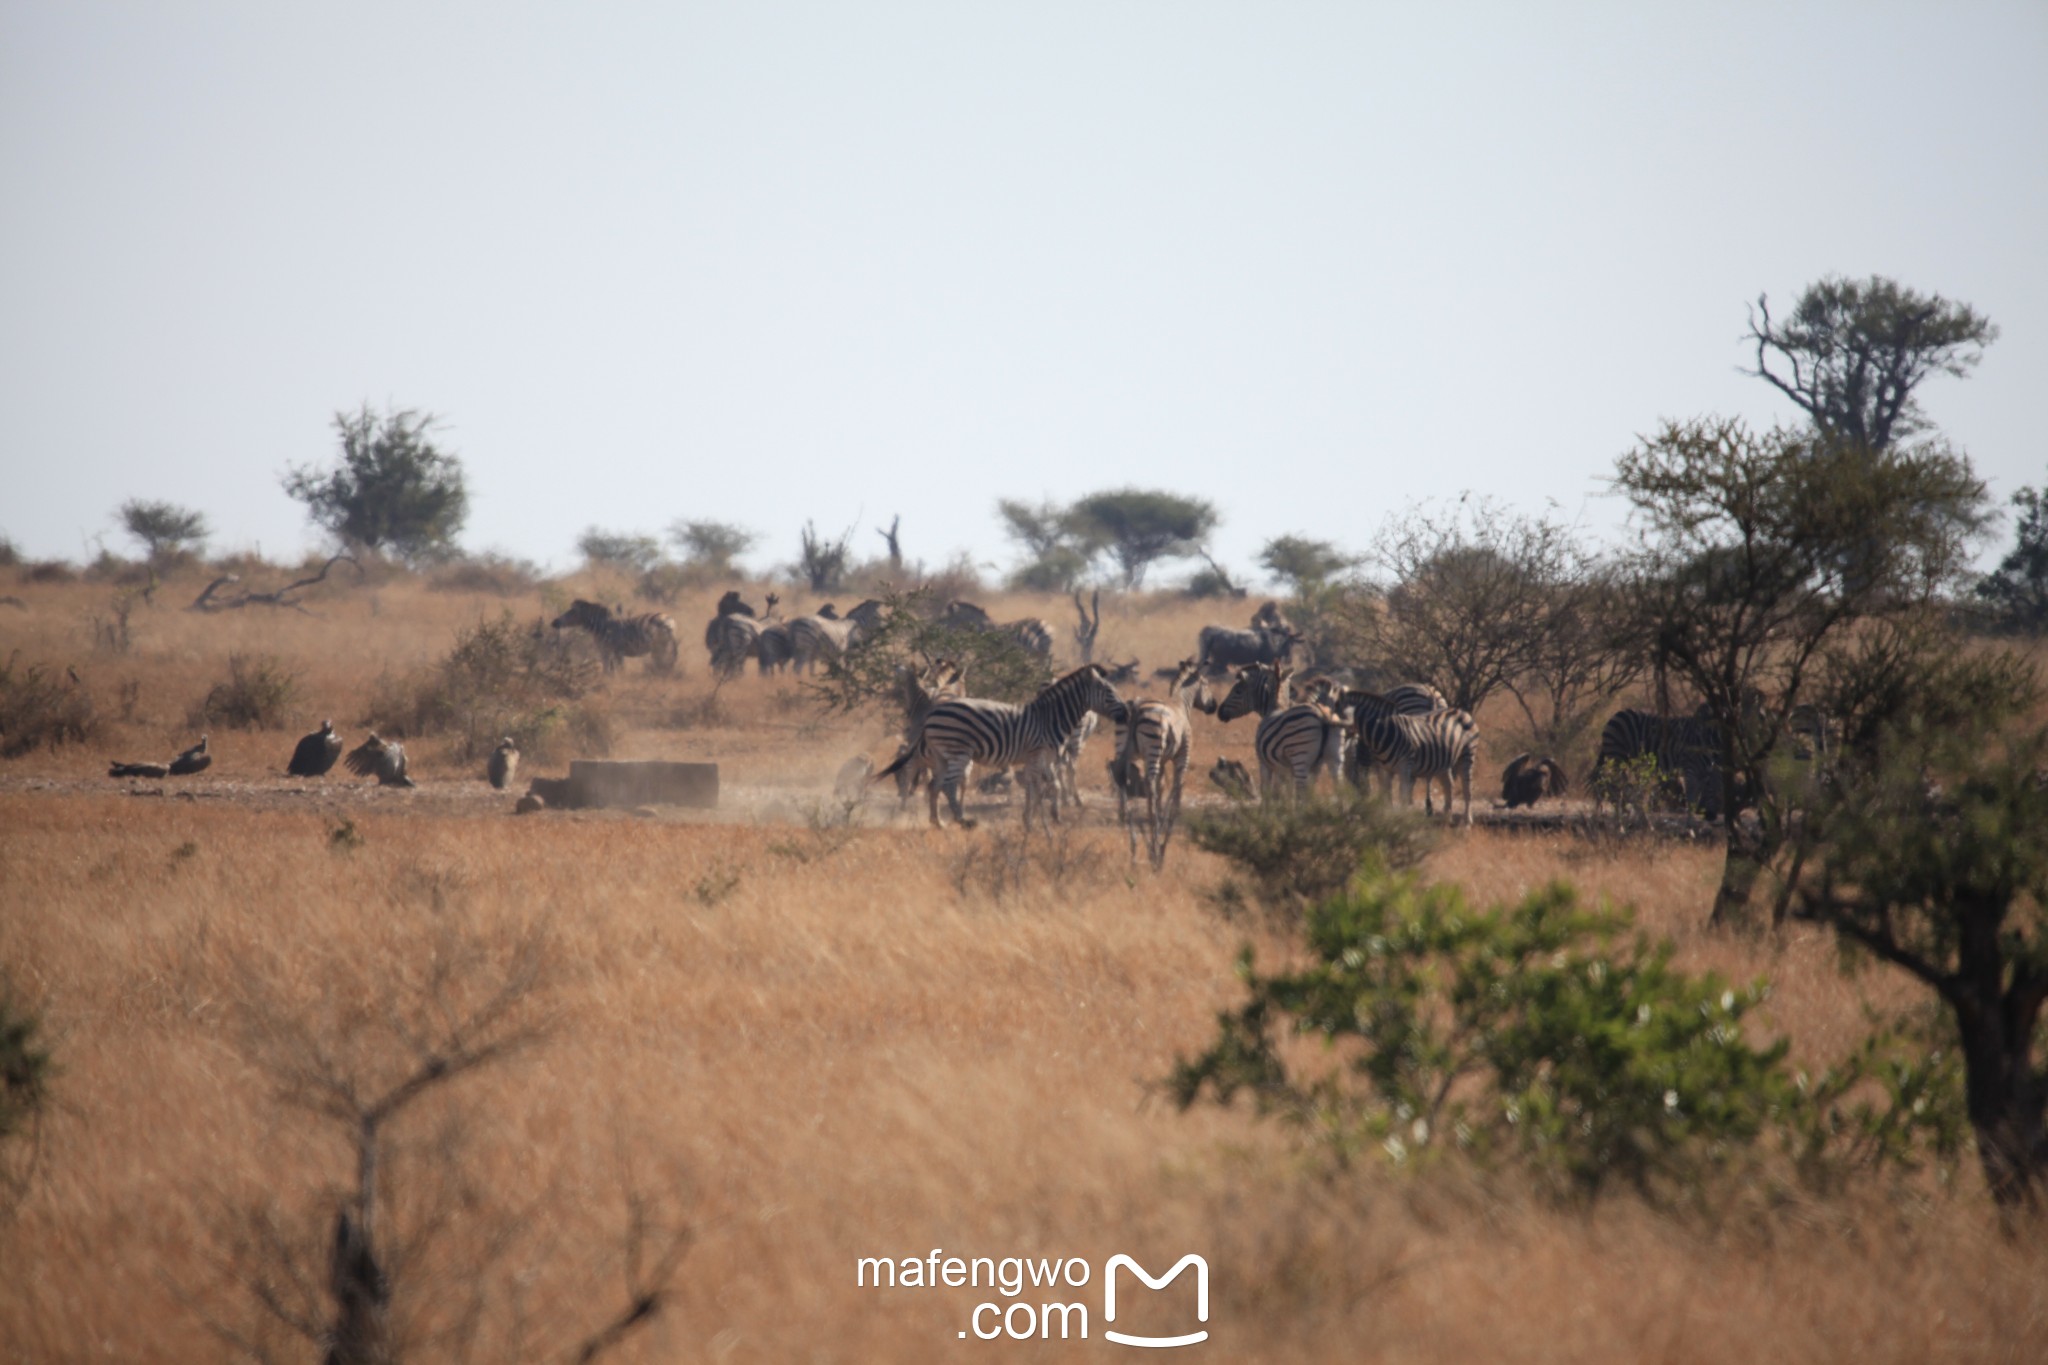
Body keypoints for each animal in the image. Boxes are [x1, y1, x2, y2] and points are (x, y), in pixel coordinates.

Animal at [548, 601, 684, 679]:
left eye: (572, 613)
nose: (554, 622)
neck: (602, 626)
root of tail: (669, 621)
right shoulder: (607, 651)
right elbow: (608, 670)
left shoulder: (615, 650)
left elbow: (615, 669)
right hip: (662, 646)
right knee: (663, 663)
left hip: (660, 646)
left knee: (662, 663)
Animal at [868, 663, 1122, 834]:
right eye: (1109, 692)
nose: (1126, 714)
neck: (1049, 717)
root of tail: (932, 713)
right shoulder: (1038, 755)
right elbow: (1041, 787)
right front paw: (1037, 820)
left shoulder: (1043, 759)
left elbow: (1047, 786)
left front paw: (1048, 818)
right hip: (959, 752)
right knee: (947, 785)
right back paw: (963, 821)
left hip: (942, 755)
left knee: (934, 785)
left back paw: (938, 822)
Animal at [1204, 663, 1351, 802]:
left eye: (1238, 691)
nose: (1219, 712)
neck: (1275, 706)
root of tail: (1322, 714)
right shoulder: (1286, 769)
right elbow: (1284, 794)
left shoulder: (1265, 763)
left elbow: (1269, 792)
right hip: (1335, 758)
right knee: (1339, 791)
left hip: (1300, 758)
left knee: (1302, 793)